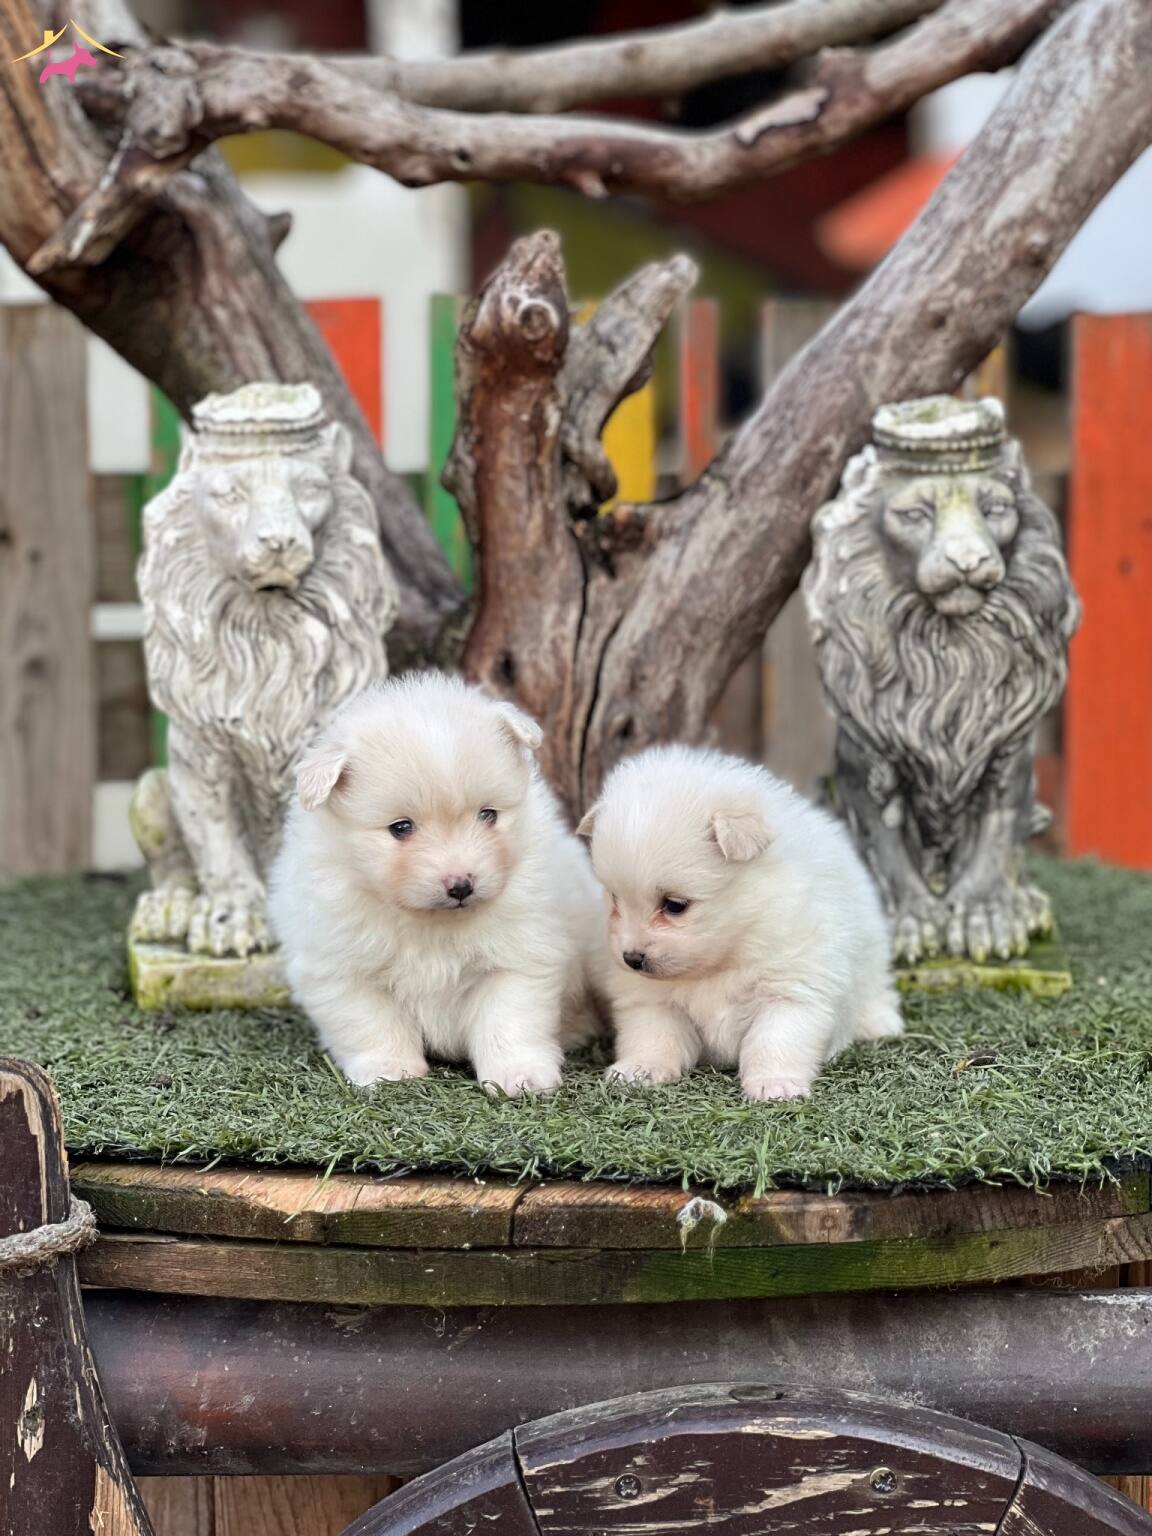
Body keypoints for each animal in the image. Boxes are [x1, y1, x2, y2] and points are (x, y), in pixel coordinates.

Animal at [268, 674, 605, 1094]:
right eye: (401, 827)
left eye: (488, 815)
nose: (461, 885)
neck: (430, 922)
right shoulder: (343, 969)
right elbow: (372, 1023)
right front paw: (391, 1070)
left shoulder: (519, 957)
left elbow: (509, 1021)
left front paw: (520, 1075)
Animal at [579, 745, 902, 1100]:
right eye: (614, 898)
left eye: (675, 906)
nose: (631, 959)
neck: (730, 951)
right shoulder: (651, 998)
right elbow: (653, 1035)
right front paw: (640, 1068)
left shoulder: (792, 989)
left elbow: (774, 1040)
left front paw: (775, 1084)